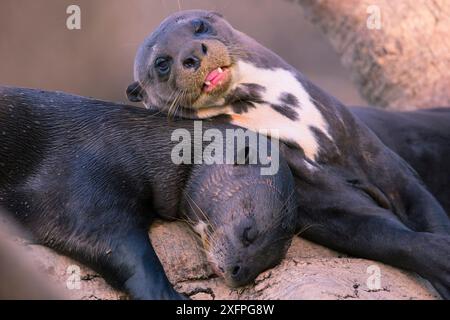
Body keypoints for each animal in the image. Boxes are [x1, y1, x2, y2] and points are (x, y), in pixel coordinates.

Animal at [0, 85, 298, 300]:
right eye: (249, 232)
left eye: (269, 260)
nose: (240, 272)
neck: (135, 144)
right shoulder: (80, 184)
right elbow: (122, 251)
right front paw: (172, 296)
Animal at [126, 10, 450, 300]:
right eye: (162, 63)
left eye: (199, 26)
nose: (192, 53)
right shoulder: (318, 200)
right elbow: (383, 235)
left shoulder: (375, 156)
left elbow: (422, 205)